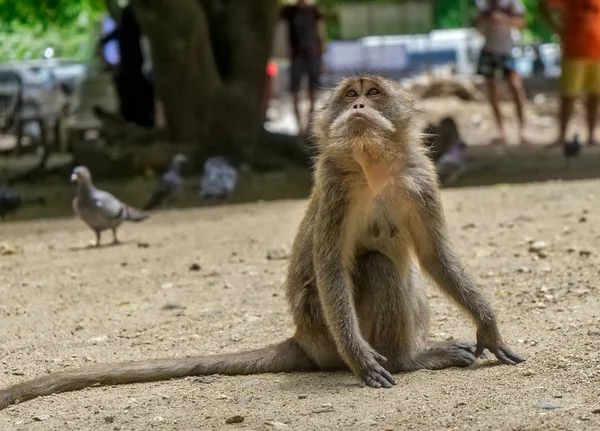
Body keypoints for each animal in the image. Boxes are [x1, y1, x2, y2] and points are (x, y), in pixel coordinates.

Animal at [0, 74, 524, 412]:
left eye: (373, 94)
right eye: (350, 96)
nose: (358, 107)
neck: (372, 164)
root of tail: (303, 339)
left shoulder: (420, 180)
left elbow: (434, 255)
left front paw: (488, 326)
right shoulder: (335, 185)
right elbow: (331, 267)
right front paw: (362, 360)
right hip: (324, 334)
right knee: (377, 265)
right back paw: (410, 359)